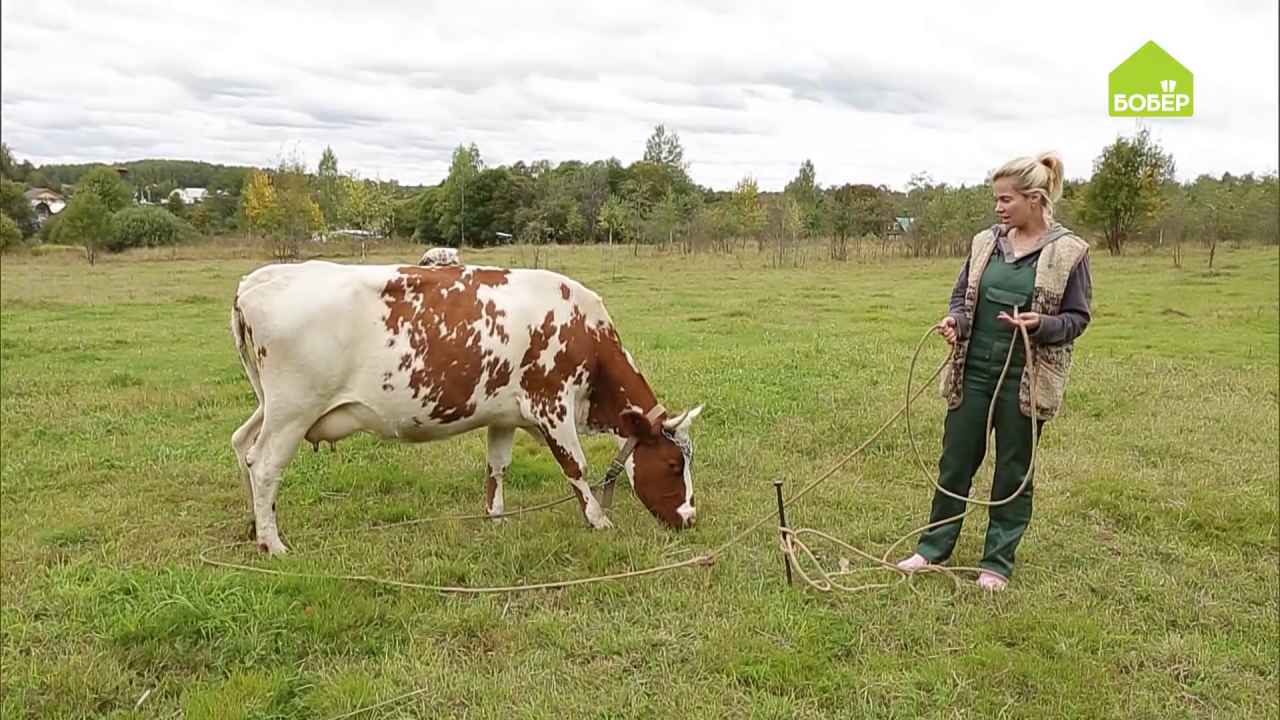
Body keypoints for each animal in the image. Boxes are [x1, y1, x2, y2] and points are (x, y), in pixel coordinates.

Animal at [234, 260, 706, 550]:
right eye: (671, 465)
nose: (690, 518)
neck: (586, 334)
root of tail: (258, 280)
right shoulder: (551, 405)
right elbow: (576, 467)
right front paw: (598, 520)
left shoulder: (504, 414)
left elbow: (497, 467)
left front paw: (495, 518)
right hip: (293, 410)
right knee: (265, 464)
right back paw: (273, 543)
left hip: (270, 407)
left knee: (243, 446)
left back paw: (256, 526)